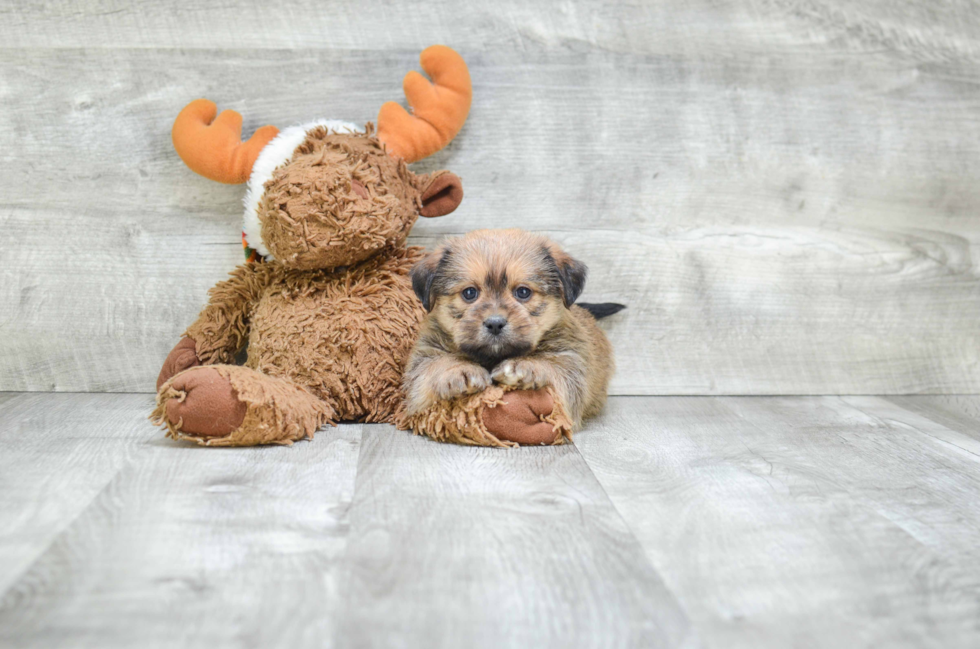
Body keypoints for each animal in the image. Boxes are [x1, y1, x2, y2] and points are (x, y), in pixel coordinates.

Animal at [402, 230, 624, 428]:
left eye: (523, 292)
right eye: (469, 293)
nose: (495, 323)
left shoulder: (569, 368)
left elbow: (551, 368)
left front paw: (524, 366)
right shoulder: (422, 365)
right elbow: (433, 367)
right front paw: (457, 370)